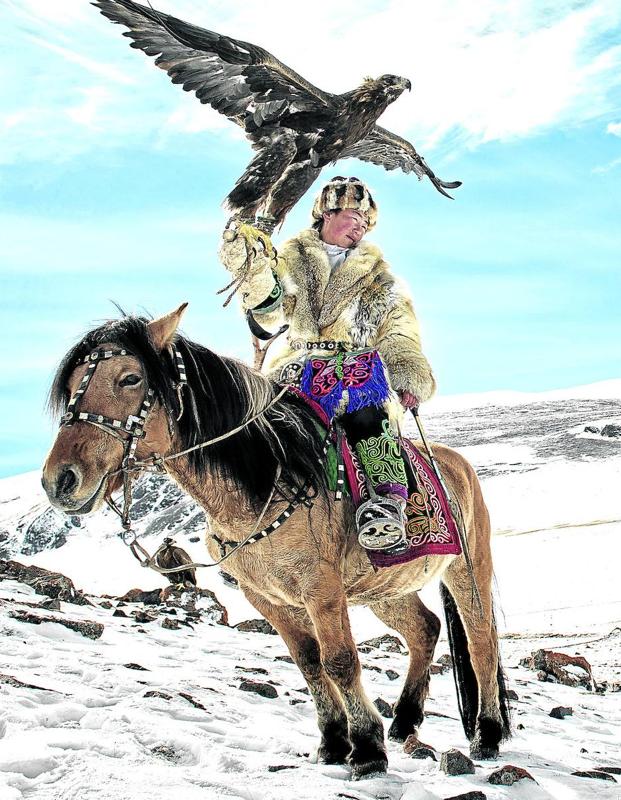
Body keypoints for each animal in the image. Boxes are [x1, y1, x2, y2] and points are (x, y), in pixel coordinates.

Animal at [42, 304, 508, 780]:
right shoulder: (266, 597)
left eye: (130, 378)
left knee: (481, 644)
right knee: (425, 629)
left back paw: (487, 734)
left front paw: (366, 748)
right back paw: (404, 721)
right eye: (72, 385)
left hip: (467, 571)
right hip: (385, 588)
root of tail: (458, 465)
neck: (265, 481)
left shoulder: (321, 590)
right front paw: (333, 742)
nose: (61, 480)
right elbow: (307, 661)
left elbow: (339, 661)